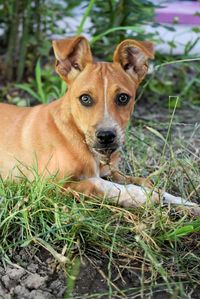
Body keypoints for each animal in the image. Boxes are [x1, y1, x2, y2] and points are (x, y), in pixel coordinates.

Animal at [0, 35, 197, 209]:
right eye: (85, 98)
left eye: (123, 98)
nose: (106, 136)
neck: (74, 133)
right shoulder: (48, 184)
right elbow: (99, 185)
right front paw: (140, 195)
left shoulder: (112, 172)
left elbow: (146, 182)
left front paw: (184, 203)